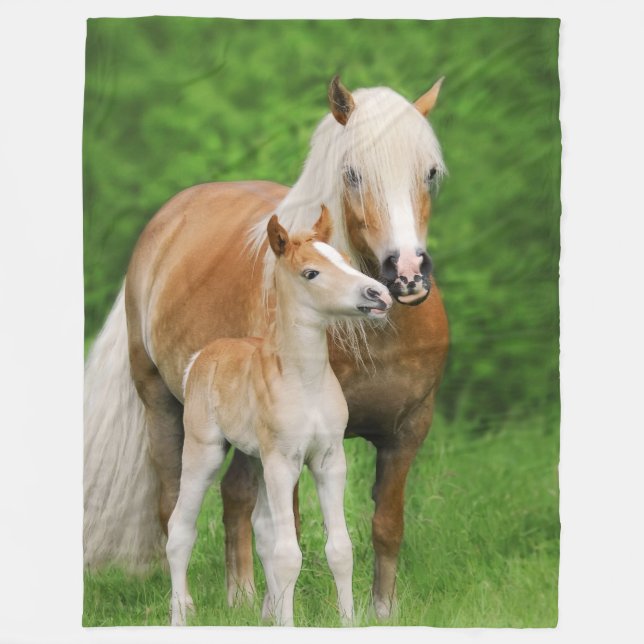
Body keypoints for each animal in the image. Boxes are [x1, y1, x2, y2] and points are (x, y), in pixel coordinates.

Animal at [167, 207, 392, 626]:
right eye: (311, 273)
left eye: (345, 259)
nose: (379, 294)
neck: (305, 381)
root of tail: (202, 357)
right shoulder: (283, 462)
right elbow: (289, 554)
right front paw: (287, 623)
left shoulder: (328, 460)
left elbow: (339, 549)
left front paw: (347, 621)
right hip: (206, 451)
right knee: (180, 529)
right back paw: (179, 618)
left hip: (256, 458)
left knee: (263, 530)